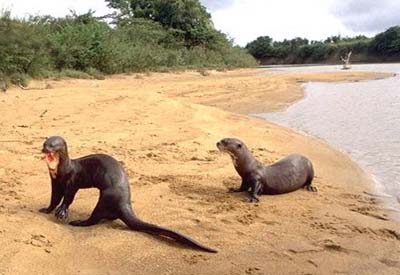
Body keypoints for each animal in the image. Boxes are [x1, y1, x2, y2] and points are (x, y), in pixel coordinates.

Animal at [39, 136, 217, 254]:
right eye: (44, 143)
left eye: (53, 145)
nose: (44, 149)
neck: (62, 171)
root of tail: (125, 202)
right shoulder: (55, 182)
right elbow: (54, 198)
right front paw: (46, 210)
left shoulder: (72, 181)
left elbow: (67, 198)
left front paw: (62, 212)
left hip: (106, 196)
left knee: (94, 218)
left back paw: (78, 222)